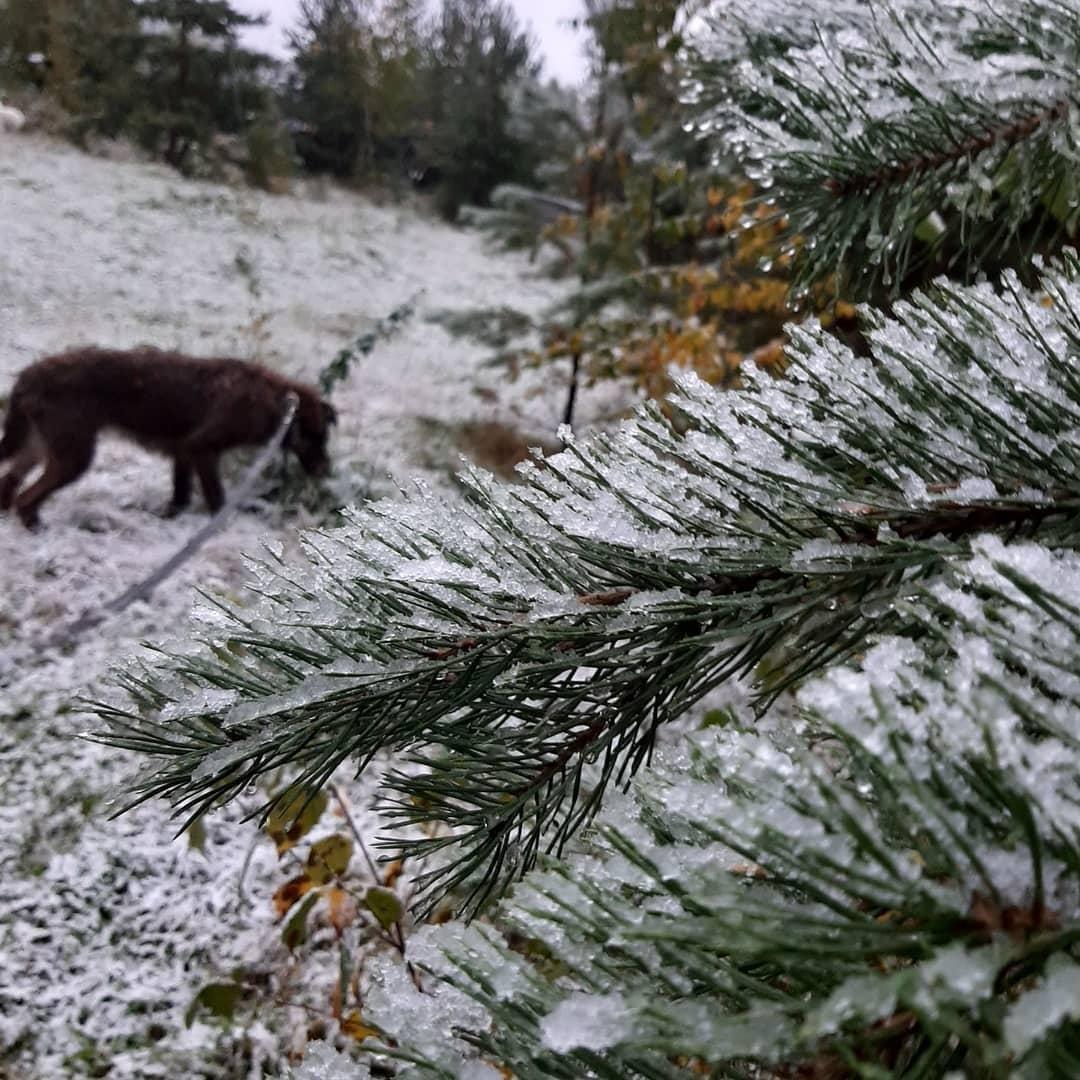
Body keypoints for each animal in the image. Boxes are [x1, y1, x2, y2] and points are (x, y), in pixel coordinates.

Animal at [0, 347, 336, 529]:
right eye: (317, 438)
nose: (325, 471)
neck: (276, 401)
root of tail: (29, 375)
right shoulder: (202, 448)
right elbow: (216, 497)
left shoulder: (183, 452)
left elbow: (181, 494)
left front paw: (169, 517)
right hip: (73, 454)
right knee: (26, 497)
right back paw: (35, 527)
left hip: (41, 445)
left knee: (10, 480)